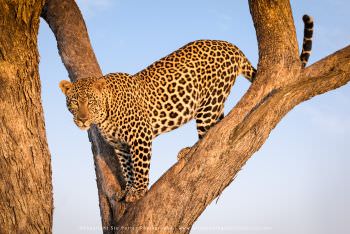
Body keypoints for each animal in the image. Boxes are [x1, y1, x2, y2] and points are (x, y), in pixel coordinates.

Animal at [58, 14, 314, 202]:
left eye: (91, 101)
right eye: (74, 102)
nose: (82, 120)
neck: (106, 115)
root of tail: (230, 45)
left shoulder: (140, 137)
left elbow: (140, 167)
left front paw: (139, 192)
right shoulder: (121, 146)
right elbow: (127, 168)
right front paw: (128, 190)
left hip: (208, 102)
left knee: (210, 137)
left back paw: (190, 150)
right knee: (220, 126)